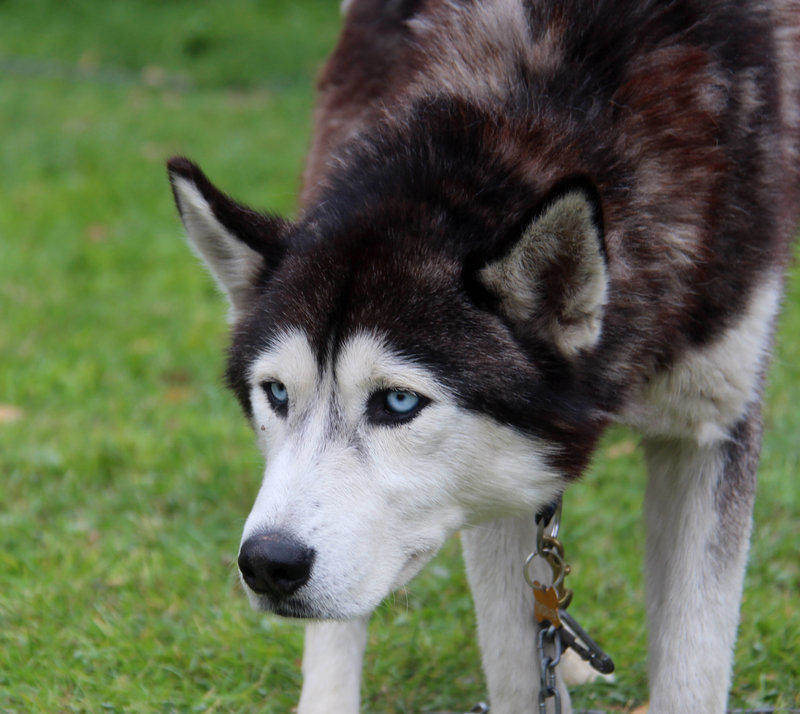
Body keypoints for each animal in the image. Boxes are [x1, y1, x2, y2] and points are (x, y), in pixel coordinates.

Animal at [166, 0, 796, 708]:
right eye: (276, 393)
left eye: (398, 402)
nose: (267, 563)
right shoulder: (495, 481)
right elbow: (517, 665)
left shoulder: (712, 426)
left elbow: (694, 669)